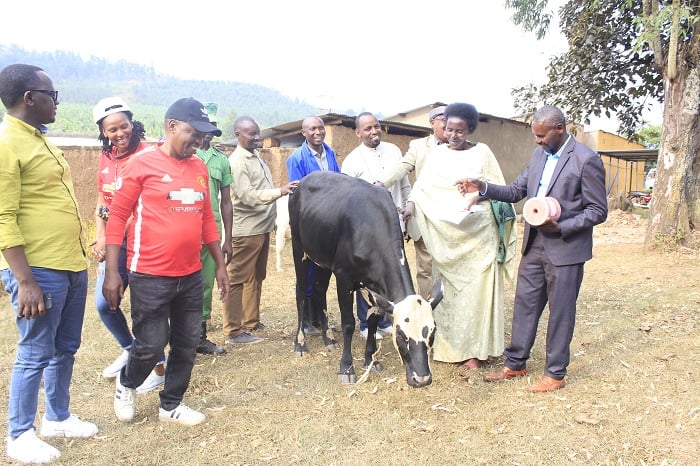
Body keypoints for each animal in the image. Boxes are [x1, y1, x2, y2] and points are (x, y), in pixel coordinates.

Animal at [288, 170, 442, 386]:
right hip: (299, 249)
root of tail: (301, 183)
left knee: (319, 291)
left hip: (323, 259)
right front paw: (346, 368)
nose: (422, 379)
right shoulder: (343, 276)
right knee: (301, 293)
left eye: (432, 333)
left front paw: (371, 360)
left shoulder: (375, 288)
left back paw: (329, 339)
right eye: (401, 335)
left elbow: (373, 322)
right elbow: (348, 323)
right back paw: (300, 343)